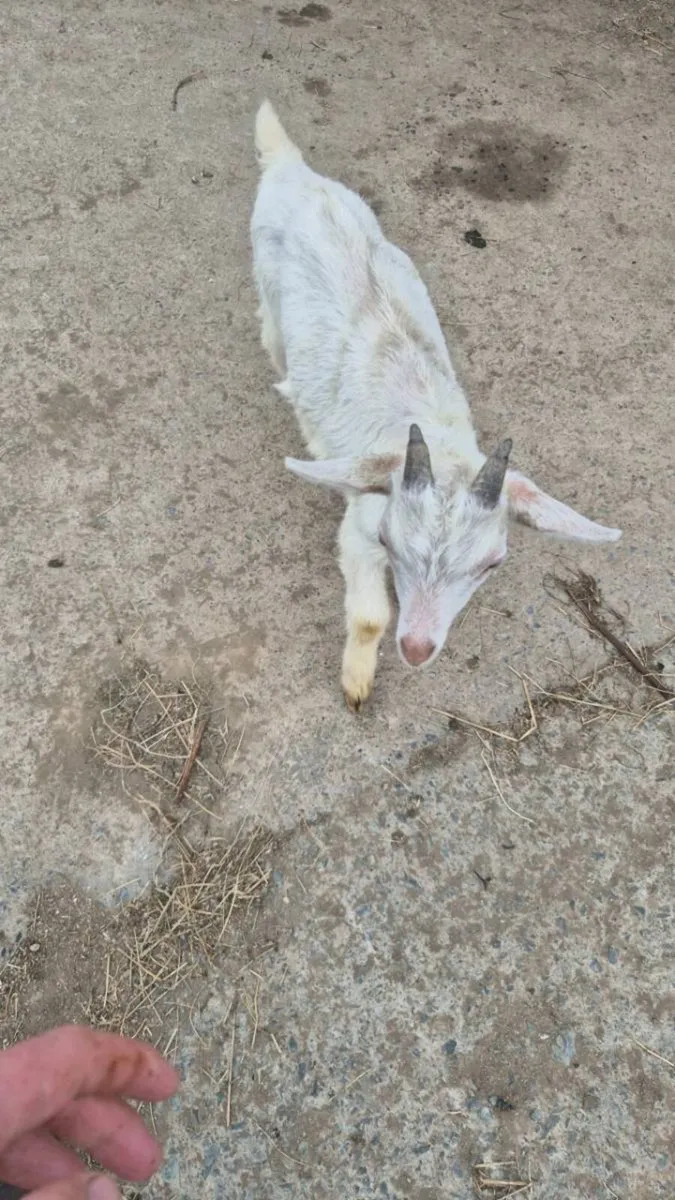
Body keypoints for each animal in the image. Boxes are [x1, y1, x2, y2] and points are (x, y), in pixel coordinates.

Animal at [250, 100, 621, 710]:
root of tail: (292, 170)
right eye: (387, 540)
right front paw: (358, 680)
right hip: (264, 281)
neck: (435, 436)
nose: (418, 647)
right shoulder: (359, 524)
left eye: (492, 563)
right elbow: (370, 617)